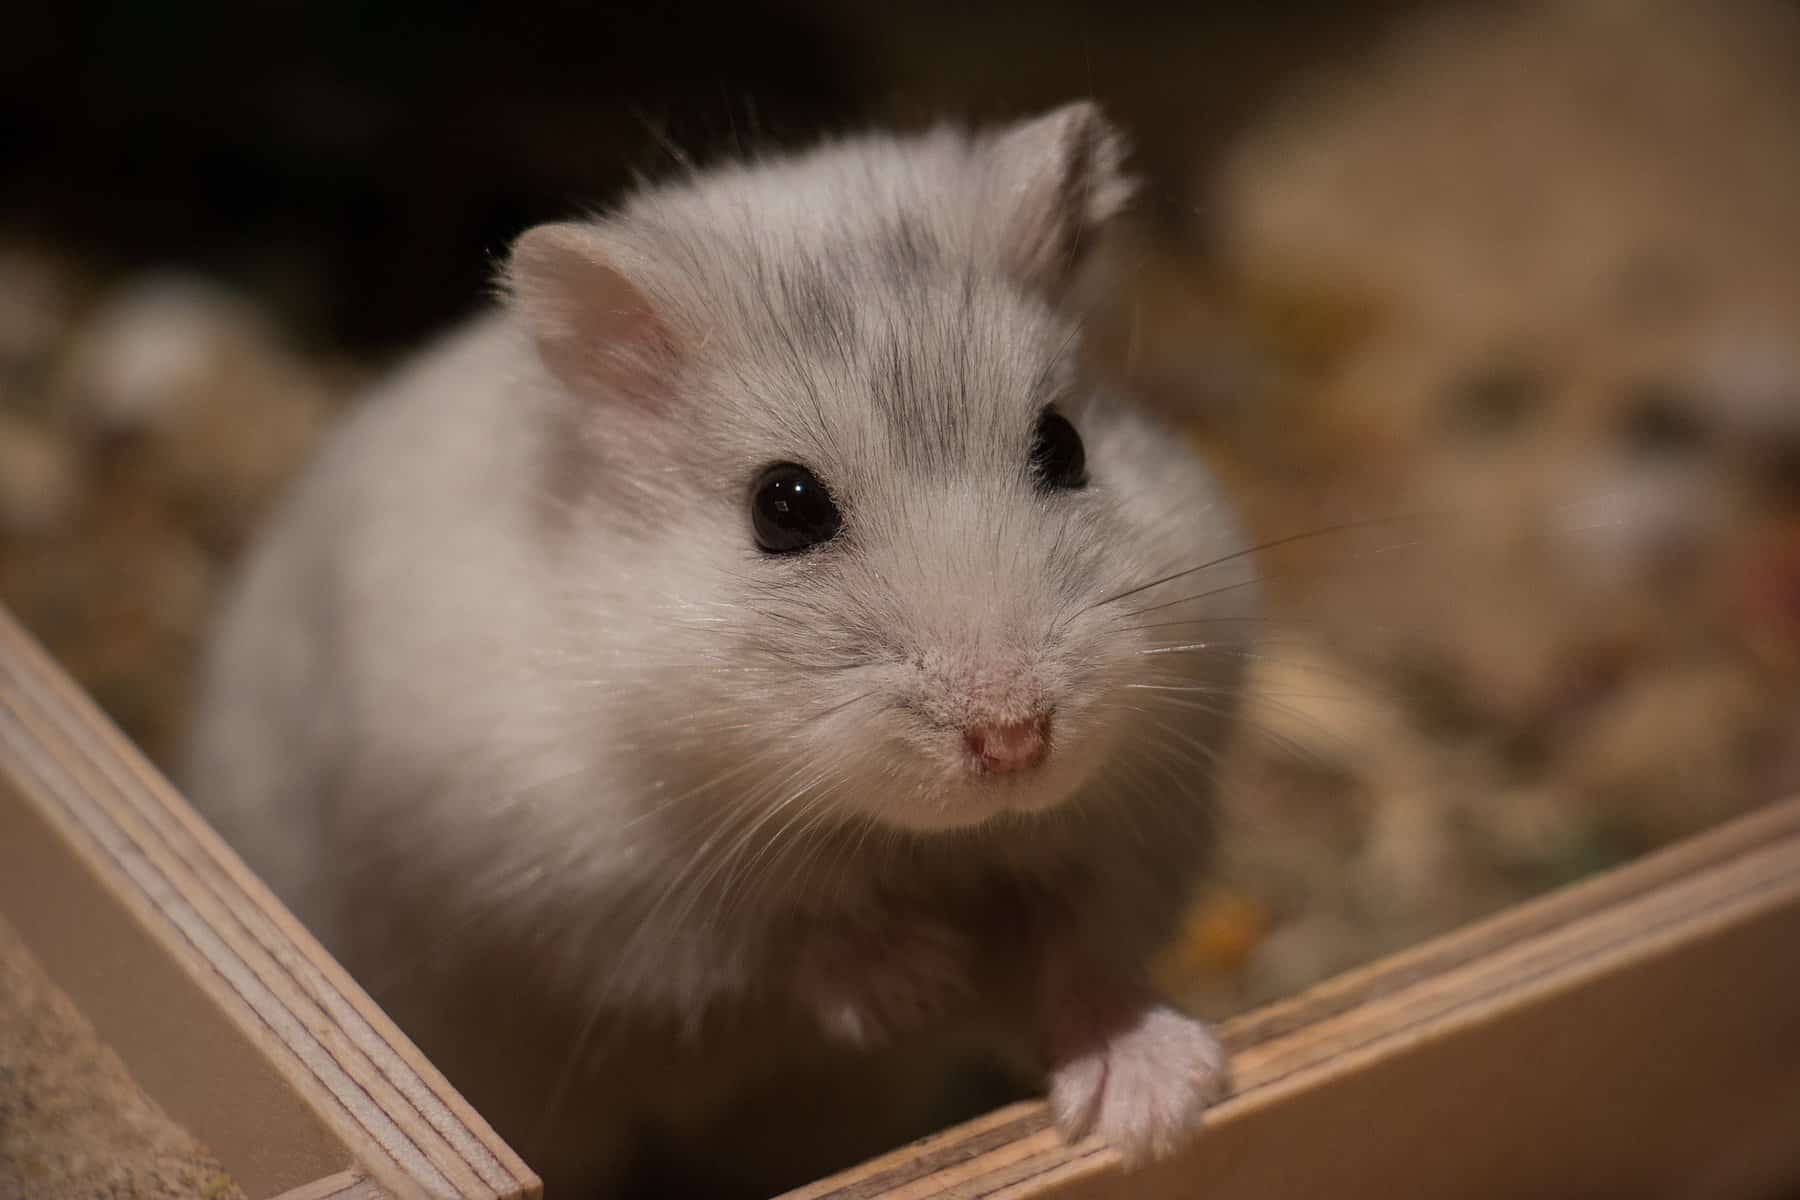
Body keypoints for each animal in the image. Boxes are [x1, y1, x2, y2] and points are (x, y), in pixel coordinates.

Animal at [184, 102, 1253, 1197]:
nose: (1014, 741)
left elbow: (1083, 954)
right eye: (784, 507)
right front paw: (916, 975)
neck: (910, 838)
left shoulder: (1132, 821)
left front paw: (1154, 1110)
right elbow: (772, 941)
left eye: (1064, 445)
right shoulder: (596, 894)